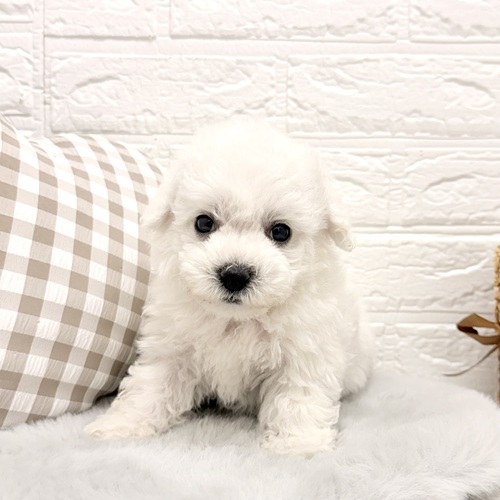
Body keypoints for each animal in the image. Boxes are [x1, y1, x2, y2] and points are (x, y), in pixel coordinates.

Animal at [84, 118, 373, 455]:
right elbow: (151, 385)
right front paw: (121, 426)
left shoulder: (305, 350)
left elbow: (298, 396)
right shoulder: (172, 346)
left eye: (281, 231)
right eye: (204, 223)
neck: (238, 319)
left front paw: (297, 444)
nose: (235, 274)